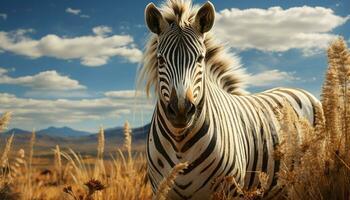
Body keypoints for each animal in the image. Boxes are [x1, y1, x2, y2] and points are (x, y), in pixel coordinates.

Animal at [138, 0, 322, 199]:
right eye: (160, 60)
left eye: (200, 58)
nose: (181, 111)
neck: (180, 144)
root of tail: (300, 90)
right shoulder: (160, 189)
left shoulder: (231, 190)